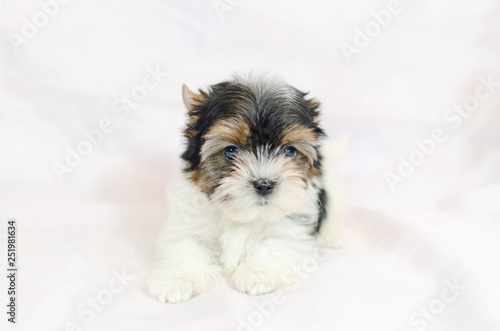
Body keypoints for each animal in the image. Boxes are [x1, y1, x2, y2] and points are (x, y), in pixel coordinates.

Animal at [144, 73, 340, 304]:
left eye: (289, 151)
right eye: (231, 151)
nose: (264, 184)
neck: (243, 213)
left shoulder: (294, 224)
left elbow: (273, 245)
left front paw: (258, 274)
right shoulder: (186, 220)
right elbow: (186, 245)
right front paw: (176, 280)